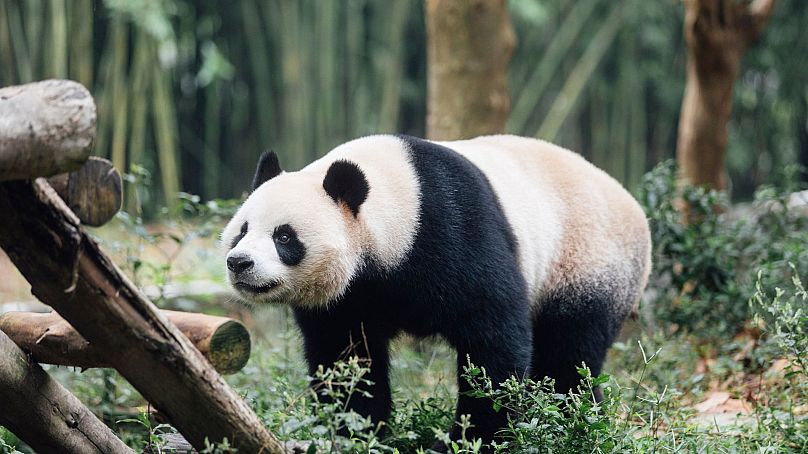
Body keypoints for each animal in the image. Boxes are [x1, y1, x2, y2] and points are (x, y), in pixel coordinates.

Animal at [221, 135, 652, 446]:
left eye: (284, 236)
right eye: (242, 231)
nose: (239, 262)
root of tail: (635, 208)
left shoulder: (454, 231)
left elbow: (494, 341)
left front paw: (473, 438)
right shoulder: (348, 299)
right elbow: (346, 357)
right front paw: (356, 431)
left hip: (587, 263)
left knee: (569, 354)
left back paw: (569, 421)